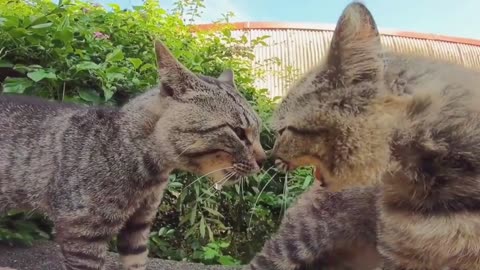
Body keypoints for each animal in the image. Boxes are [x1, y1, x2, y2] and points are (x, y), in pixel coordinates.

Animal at [0, 40, 266, 270]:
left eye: (258, 131)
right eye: (239, 132)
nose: (264, 160)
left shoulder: (138, 226)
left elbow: (136, 262)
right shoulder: (83, 233)